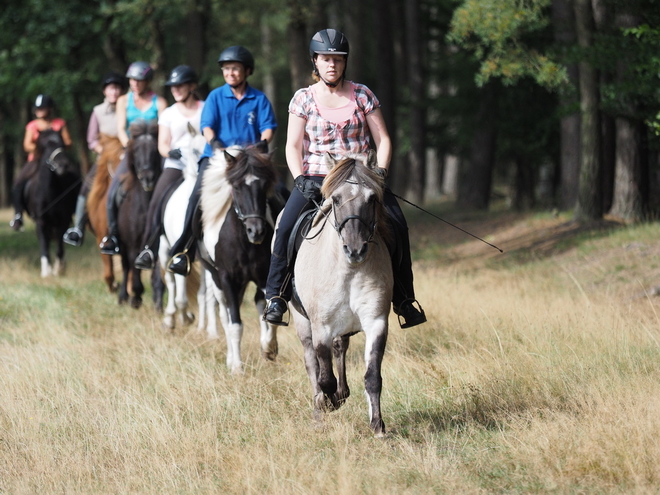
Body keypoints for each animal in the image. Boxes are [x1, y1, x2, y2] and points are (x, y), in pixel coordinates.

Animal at [22, 130, 80, 278]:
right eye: (46, 146)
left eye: (62, 144)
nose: (63, 165)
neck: (50, 192)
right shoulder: (41, 221)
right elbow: (44, 244)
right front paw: (46, 271)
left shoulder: (64, 220)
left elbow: (59, 244)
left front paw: (58, 269)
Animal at [116, 122, 164, 310]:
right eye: (135, 150)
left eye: (155, 150)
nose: (147, 178)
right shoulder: (132, 245)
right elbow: (133, 269)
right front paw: (136, 297)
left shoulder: (156, 243)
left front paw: (158, 302)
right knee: (126, 267)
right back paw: (123, 297)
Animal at [290, 152, 392, 438]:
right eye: (335, 199)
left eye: (372, 198)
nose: (355, 249)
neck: (348, 269)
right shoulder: (321, 326)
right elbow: (324, 377)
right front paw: (328, 403)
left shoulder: (376, 321)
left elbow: (372, 376)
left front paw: (378, 426)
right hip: (302, 322)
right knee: (312, 363)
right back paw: (320, 408)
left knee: (340, 349)